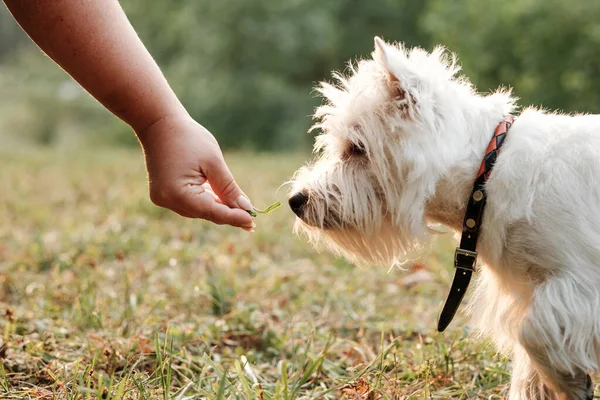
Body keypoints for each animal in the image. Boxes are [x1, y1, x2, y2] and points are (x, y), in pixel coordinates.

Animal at [288, 36, 596, 398]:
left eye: (357, 148)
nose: (296, 200)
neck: (486, 175)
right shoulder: (535, 291)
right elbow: (531, 353)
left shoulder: (578, 280)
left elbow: (533, 334)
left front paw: (569, 378)